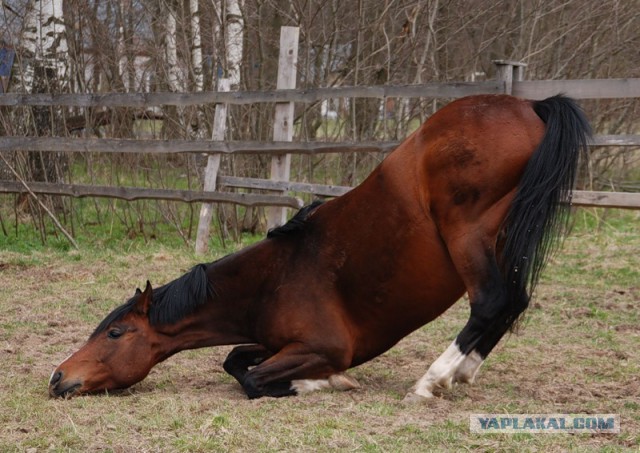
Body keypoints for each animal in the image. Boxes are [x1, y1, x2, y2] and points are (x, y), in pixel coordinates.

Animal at [48, 93, 592, 398]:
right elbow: (235, 360)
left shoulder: (322, 346)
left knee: (492, 302)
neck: (273, 277)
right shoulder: (272, 341)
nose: (58, 377)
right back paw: (461, 375)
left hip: (470, 238)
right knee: (513, 301)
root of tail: (528, 105)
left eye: (115, 333)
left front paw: (325, 382)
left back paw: (429, 382)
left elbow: (253, 380)